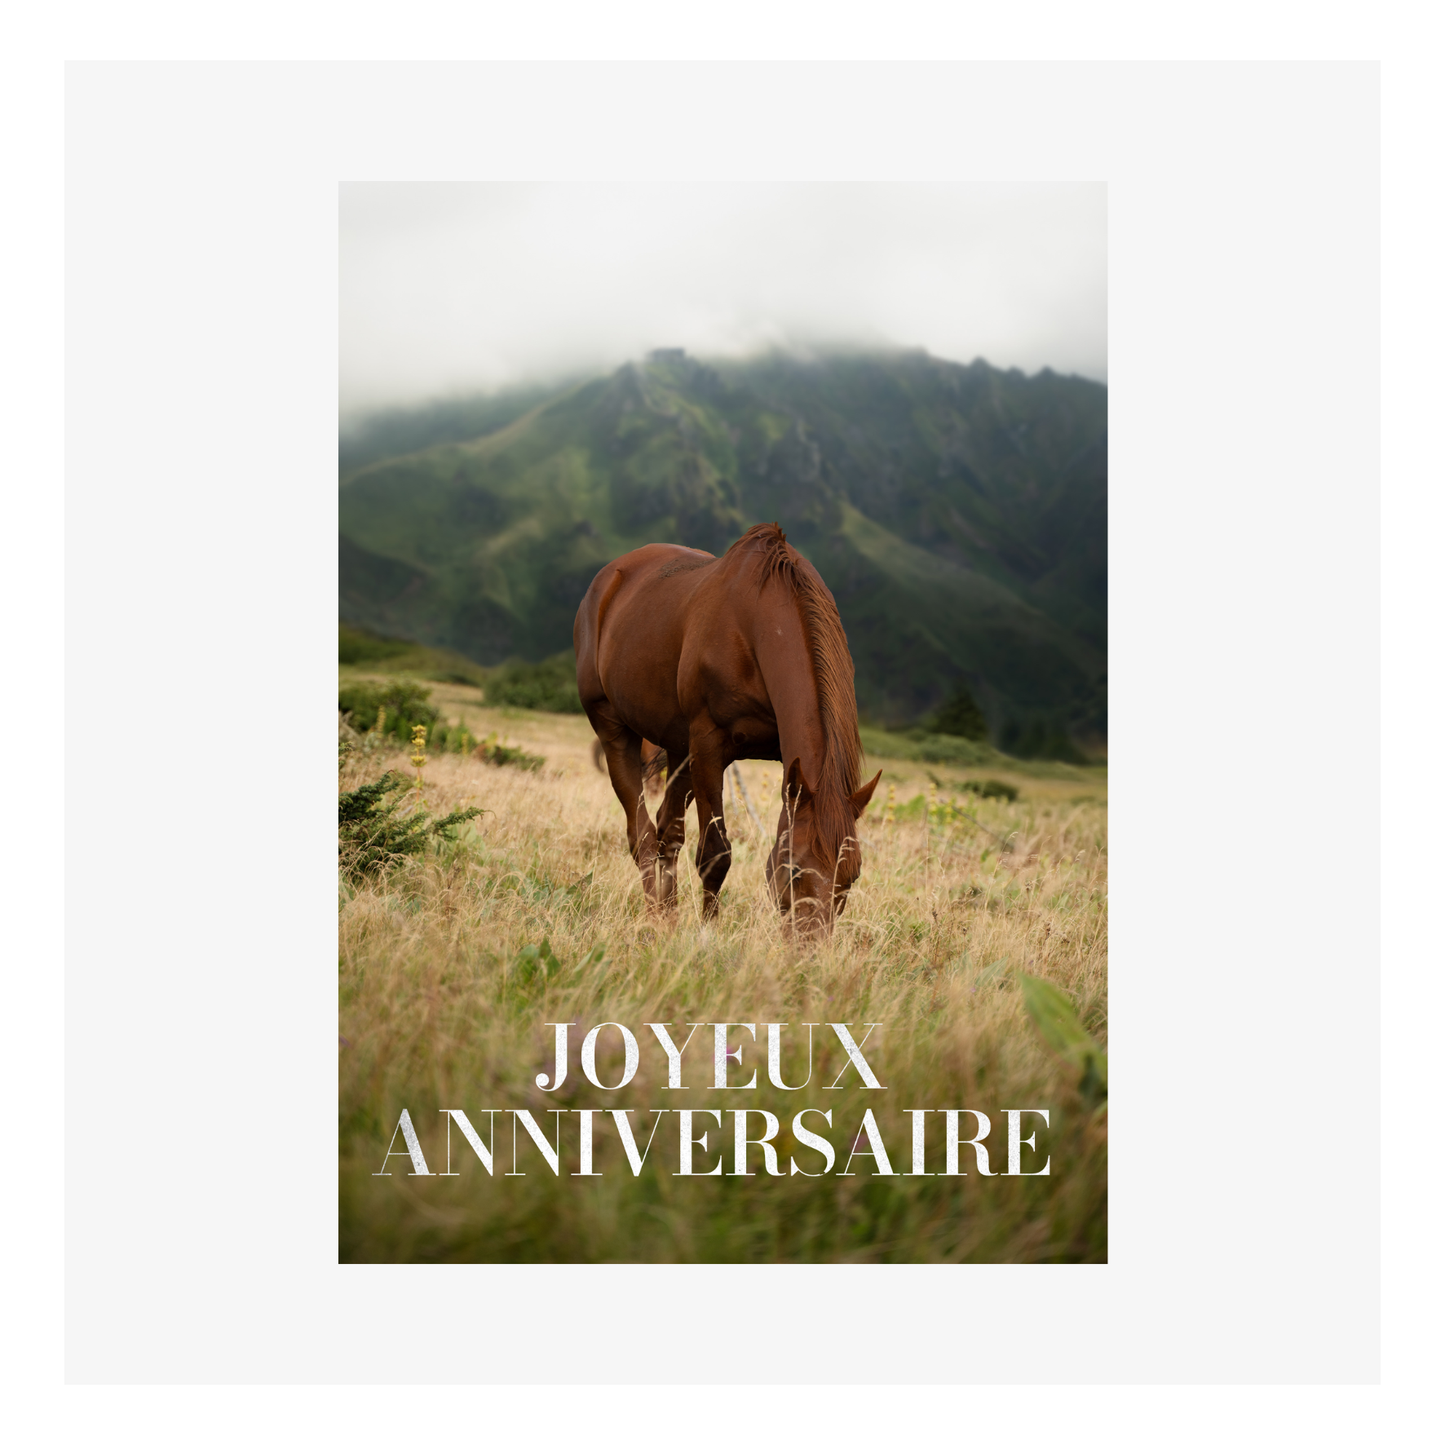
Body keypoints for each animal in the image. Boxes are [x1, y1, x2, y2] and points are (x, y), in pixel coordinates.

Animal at [574, 522, 881, 932]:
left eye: (852, 876)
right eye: (794, 870)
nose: (810, 945)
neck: (755, 628)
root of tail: (608, 577)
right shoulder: (708, 746)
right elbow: (715, 854)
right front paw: (710, 933)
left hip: (678, 747)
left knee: (667, 832)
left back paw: (669, 915)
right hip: (614, 726)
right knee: (641, 834)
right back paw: (655, 918)